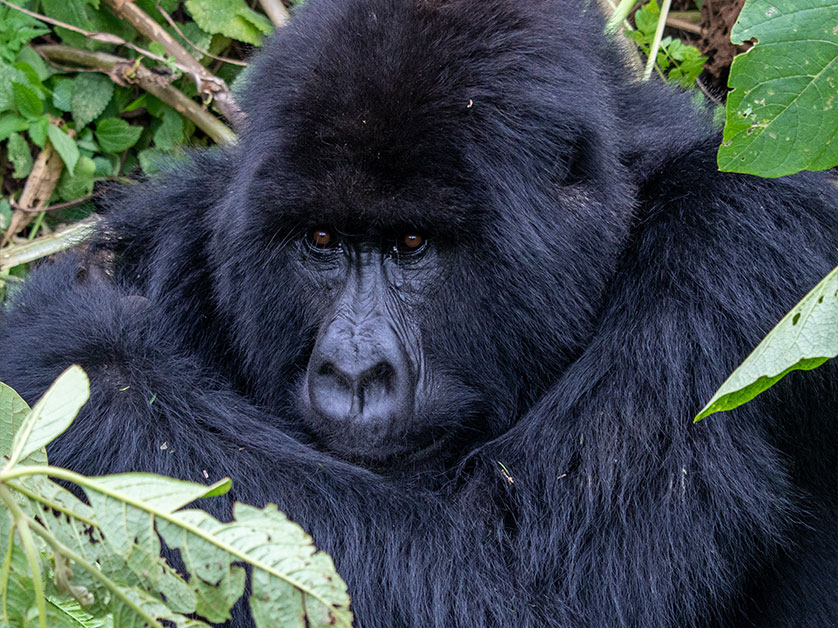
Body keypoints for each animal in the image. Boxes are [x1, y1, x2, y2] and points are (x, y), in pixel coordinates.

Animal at [1, 0, 838, 624]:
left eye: (412, 244)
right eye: (321, 240)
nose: (352, 372)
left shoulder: (737, 248)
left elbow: (525, 593)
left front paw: (77, 358)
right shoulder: (190, 223)